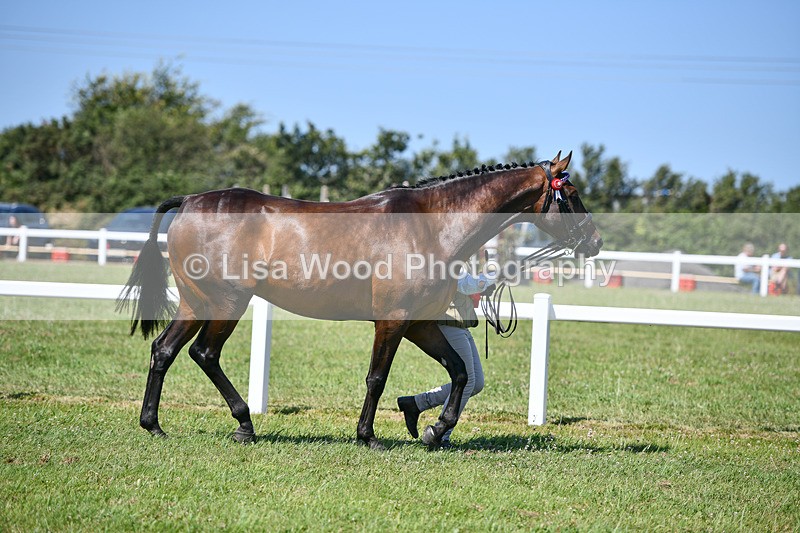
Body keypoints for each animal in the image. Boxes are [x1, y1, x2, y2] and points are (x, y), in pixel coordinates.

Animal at [119, 150, 602, 450]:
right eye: (573, 195)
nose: (595, 241)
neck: (431, 225)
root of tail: (190, 200)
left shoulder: (420, 323)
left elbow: (460, 371)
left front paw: (435, 429)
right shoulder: (393, 321)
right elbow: (377, 378)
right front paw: (368, 435)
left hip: (196, 303)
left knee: (164, 350)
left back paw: (154, 425)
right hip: (226, 304)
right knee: (204, 353)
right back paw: (244, 424)